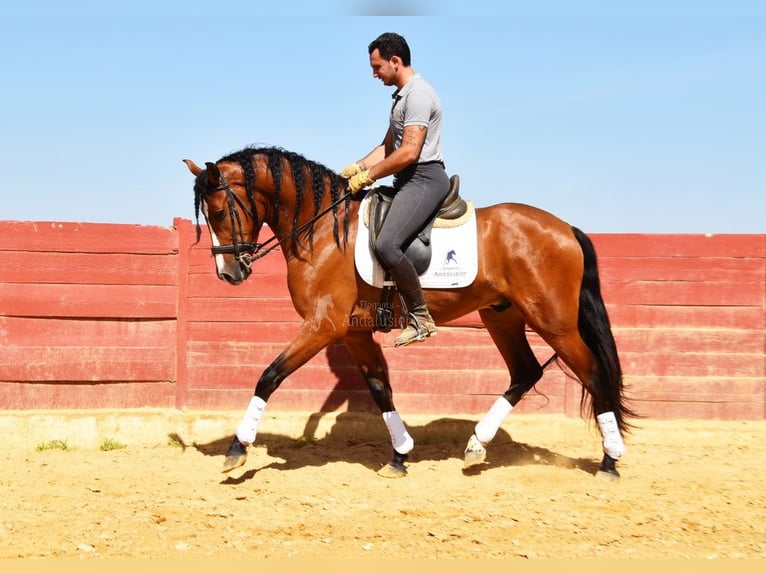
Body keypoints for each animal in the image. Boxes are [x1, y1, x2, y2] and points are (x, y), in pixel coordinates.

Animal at [182, 145, 636, 482]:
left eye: (218, 212)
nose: (229, 273)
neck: (323, 231)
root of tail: (566, 229)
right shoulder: (354, 333)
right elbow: (380, 388)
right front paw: (400, 455)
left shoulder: (323, 326)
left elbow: (269, 376)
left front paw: (237, 449)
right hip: (502, 316)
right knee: (525, 372)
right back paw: (476, 446)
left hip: (554, 322)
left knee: (594, 373)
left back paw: (610, 461)